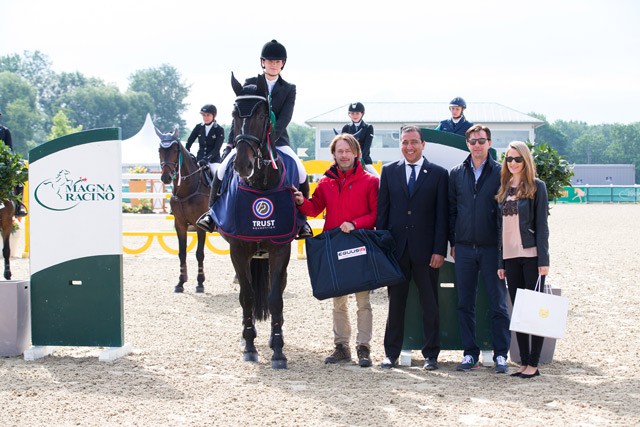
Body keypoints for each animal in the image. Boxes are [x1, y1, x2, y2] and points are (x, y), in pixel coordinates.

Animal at [157, 127, 210, 294]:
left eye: (175, 150)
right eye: (160, 150)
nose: (166, 177)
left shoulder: (200, 225)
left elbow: (199, 254)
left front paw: (200, 283)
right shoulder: (180, 224)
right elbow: (182, 253)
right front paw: (180, 283)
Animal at [212, 72, 304, 368]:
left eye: (263, 114)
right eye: (233, 114)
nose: (243, 165)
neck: (262, 183)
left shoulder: (280, 248)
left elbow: (275, 298)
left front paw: (278, 350)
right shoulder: (239, 249)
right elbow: (247, 297)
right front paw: (249, 347)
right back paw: (246, 337)